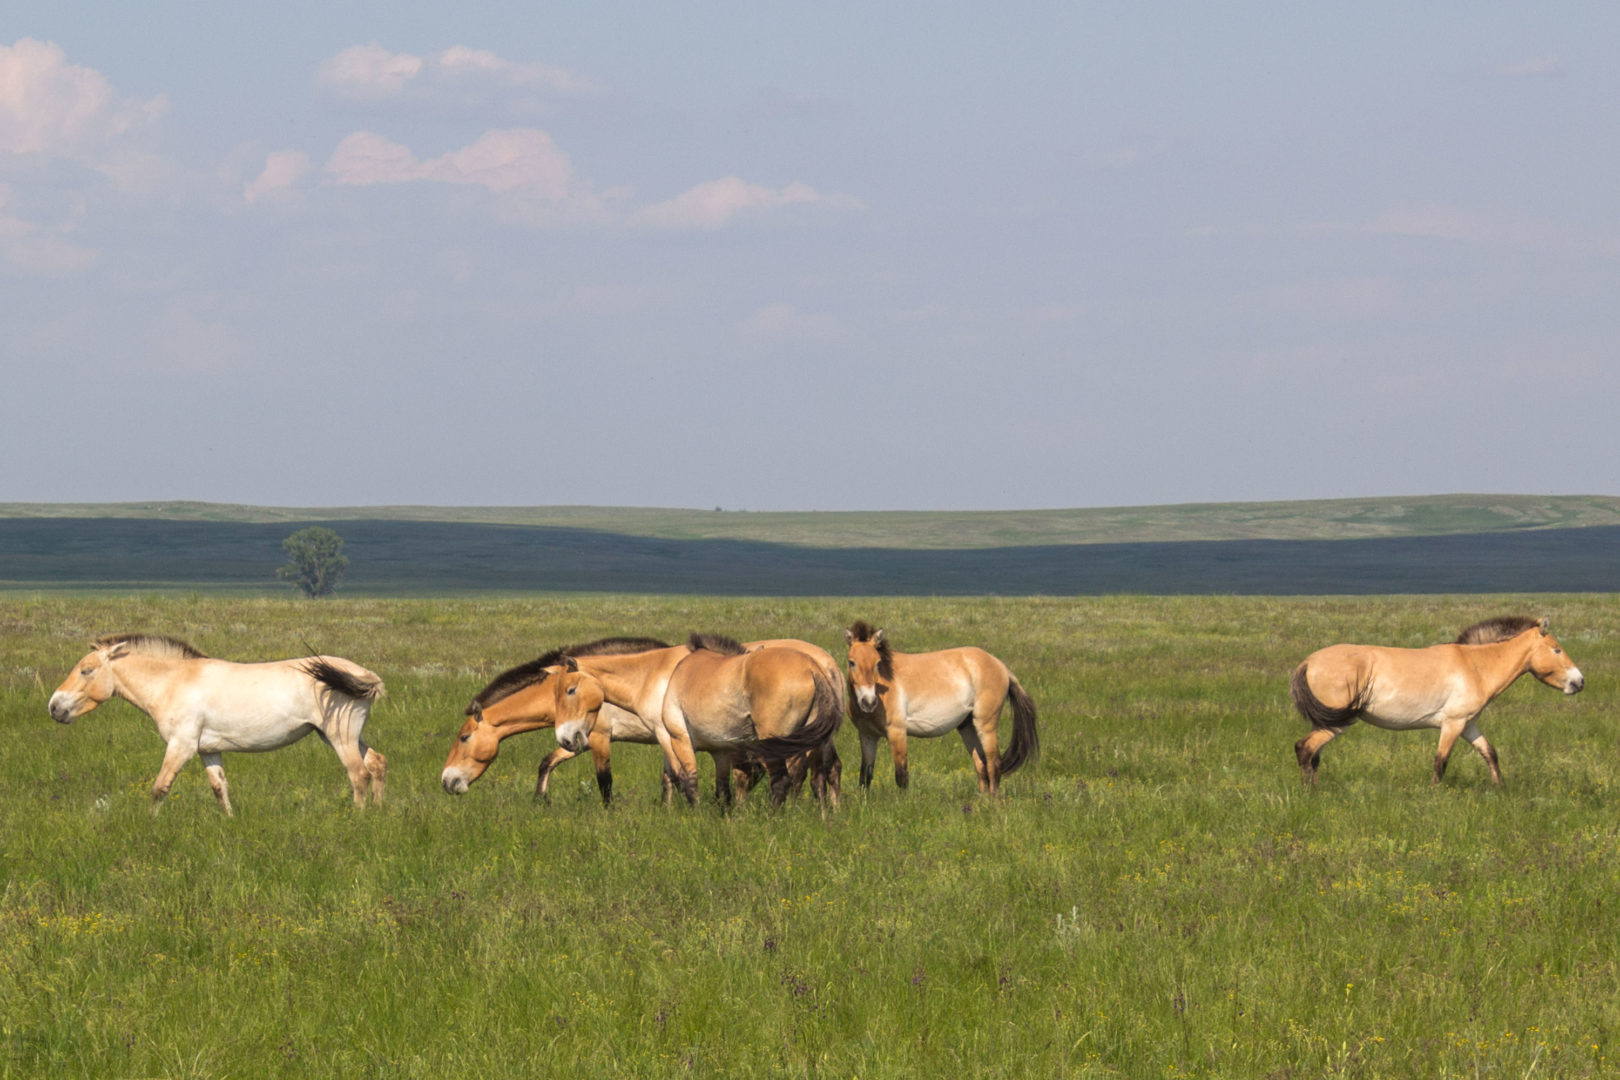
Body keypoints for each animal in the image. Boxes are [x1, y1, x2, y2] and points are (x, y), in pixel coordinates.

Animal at [50, 628, 385, 816]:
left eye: (86, 670)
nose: (54, 707)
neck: (174, 682)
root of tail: (366, 676)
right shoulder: (207, 750)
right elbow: (219, 788)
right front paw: (229, 822)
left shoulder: (181, 746)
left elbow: (160, 787)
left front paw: (150, 823)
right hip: (340, 736)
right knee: (377, 764)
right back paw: (377, 814)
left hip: (340, 736)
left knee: (358, 774)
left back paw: (358, 819)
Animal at [842, 615, 1043, 793]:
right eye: (851, 662)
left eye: (877, 663)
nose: (868, 702)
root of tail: (1000, 665)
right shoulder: (867, 735)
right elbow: (865, 776)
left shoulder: (897, 733)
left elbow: (901, 775)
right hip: (967, 727)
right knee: (981, 765)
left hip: (985, 725)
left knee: (994, 765)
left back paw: (994, 802)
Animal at [1289, 615, 1581, 786]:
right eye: (1557, 650)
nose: (1579, 682)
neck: (1475, 665)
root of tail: (1307, 662)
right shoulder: (1452, 724)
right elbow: (1440, 762)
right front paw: (1434, 796)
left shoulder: (1468, 725)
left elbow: (1490, 753)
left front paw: (1500, 789)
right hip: (1338, 723)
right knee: (1304, 748)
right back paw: (1308, 792)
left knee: (1314, 754)